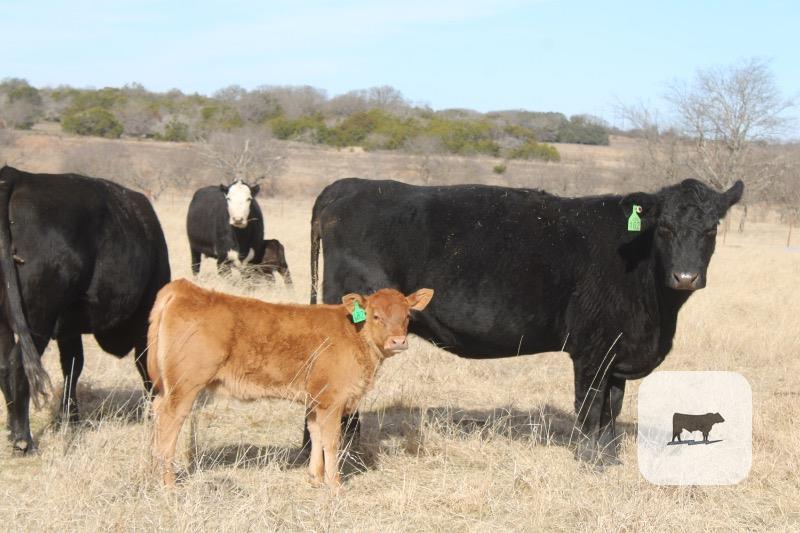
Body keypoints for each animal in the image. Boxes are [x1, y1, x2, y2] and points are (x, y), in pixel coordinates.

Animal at [0, 165, 170, 452]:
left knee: (4, 364)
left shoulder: (68, 326)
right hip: (37, 318)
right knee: (18, 365)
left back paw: (13, 432)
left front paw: (70, 420)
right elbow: (144, 361)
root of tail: (18, 175)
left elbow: (72, 365)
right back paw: (24, 440)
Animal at [147, 278, 433, 489]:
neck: (354, 332)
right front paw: (336, 486)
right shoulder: (332, 401)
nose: (398, 341)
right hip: (184, 387)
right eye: (375, 316)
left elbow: (315, 435)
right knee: (170, 422)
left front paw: (315, 479)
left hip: (170, 388)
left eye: (407, 316)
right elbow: (332, 442)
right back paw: (168, 483)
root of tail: (185, 288)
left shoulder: (315, 399)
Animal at [308, 177, 743, 465]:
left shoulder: (618, 350)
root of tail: (350, 186)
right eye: (665, 228)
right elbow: (591, 407)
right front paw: (591, 461)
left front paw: (611, 457)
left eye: (711, 229)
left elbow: (612, 410)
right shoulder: (593, 350)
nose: (685, 276)